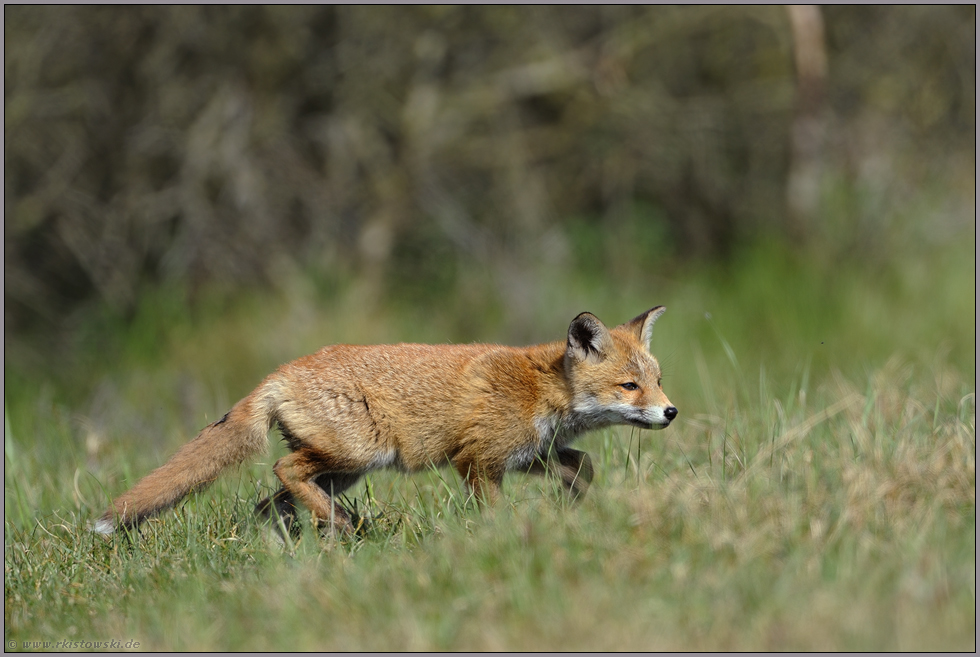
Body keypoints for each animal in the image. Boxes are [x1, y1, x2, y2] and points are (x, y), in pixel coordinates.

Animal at [94, 304, 672, 536]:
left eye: (659, 379)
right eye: (630, 386)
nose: (671, 411)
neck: (540, 388)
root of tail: (278, 373)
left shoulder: (529, 453)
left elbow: (584, 467)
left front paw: (570, 511)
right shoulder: (477, 460)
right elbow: (496, 514)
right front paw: (506, 538)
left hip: (344, 470)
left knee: (270, 502)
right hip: (356, 455)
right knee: (283, 474)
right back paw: (338, 527)